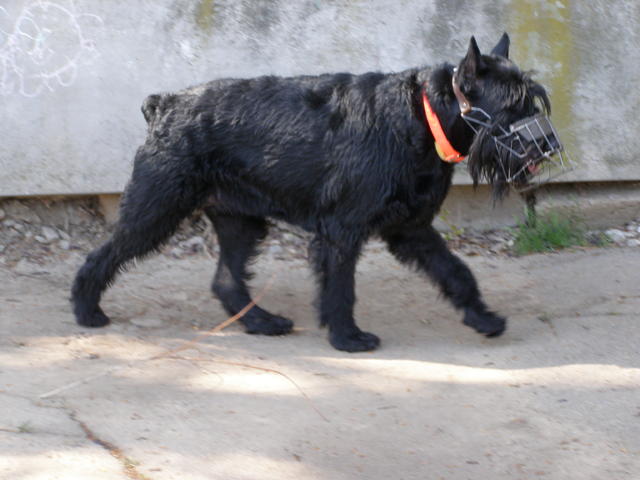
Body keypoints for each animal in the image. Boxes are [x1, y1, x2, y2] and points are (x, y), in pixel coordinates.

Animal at [72, 33, 564, 351]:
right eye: (513, 105)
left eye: (533, 100)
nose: (548, 144)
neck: (422, 117)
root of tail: (165, 104)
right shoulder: (342, 230)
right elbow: (340, 287)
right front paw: (347, 337)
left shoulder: (412, 228)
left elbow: (457, 272)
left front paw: (483, 317)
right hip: (156, 208)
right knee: (105, 254)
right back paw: (85, 310)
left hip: (239, 220)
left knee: (227, 279)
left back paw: (262, 322)